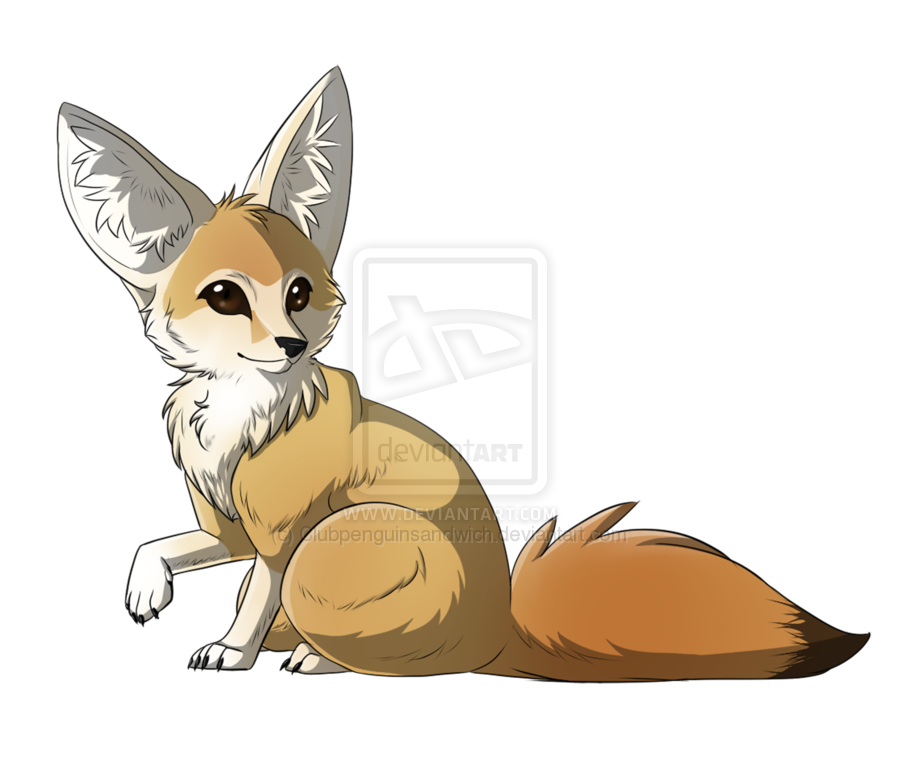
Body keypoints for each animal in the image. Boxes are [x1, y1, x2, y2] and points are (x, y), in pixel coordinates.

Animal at [58, 67, 867, 679]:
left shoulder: (282, 538)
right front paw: (146, 588)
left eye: (298, 293)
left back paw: (323, 661)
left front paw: (231, 650)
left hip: (336, 539)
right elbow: (162, 546)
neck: (240, 413)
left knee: (384, 656)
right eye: (225, 297)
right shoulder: (228, 528)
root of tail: (500, 632)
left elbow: (255, 597)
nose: (289, 344)